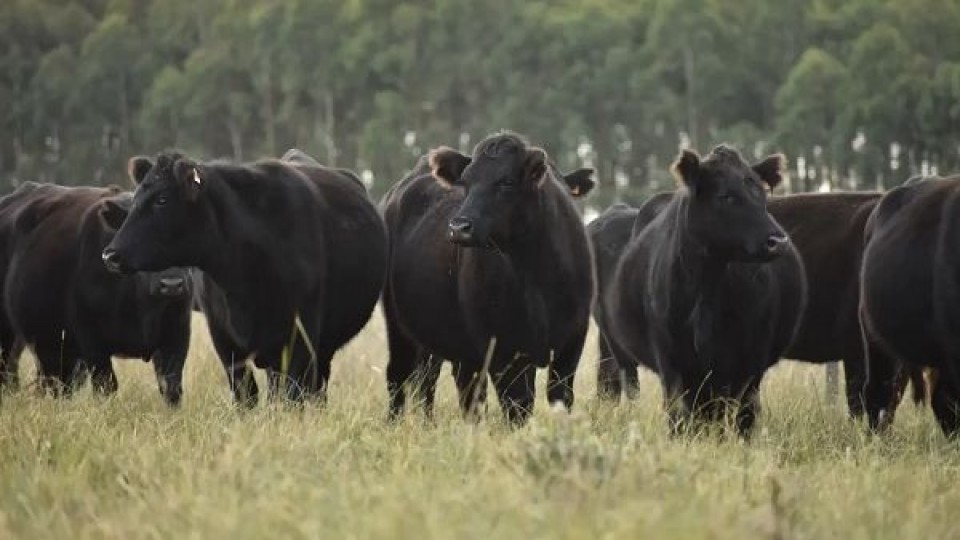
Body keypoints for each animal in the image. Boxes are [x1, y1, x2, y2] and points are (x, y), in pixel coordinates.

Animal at [0, 184, 193, 402]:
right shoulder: (92, 340)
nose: (172, 284)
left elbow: (171, 388)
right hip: (10, 333)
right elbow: (106, 386)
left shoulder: (177, 336)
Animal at [103, 150, 388, 402]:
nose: (110, 255)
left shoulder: (300, 338)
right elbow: (245, 395)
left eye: (162, 199)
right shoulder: (224, 339)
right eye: (136, 198)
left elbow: (292, 396)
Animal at [380, 132, 592, 426]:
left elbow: (560, 397)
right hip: (398, 324)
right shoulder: (504, 351)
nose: (459, 227)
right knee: (399, 375)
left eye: (507, 181)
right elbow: (517, 407)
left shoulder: (571, 343)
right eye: (465, 182)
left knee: (438, 383)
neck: (536, 277)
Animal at [600, 144, 804, 434]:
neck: (707, 287)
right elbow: (679, 414)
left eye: (762, 195)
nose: (779, 241)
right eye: (726, 196)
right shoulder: (672, 359)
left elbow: (744, 415)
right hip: (618, 349)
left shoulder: (749, 361)